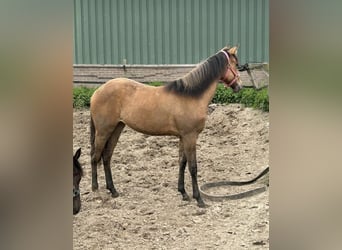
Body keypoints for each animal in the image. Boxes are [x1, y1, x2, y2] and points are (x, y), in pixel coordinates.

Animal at [89, 46, 242, 207]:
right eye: (235, 65)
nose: (240, 86)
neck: (191, 96)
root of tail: (97, 92)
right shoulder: (190, 136)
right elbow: (193, 167)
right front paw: (199, 199)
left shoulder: (183, 137)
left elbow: (182, 163)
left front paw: (183, 193)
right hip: (103, 132)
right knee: (95, 157)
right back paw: (96, 190)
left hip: (116, 129)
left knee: (106, 157)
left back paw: (113, 190)